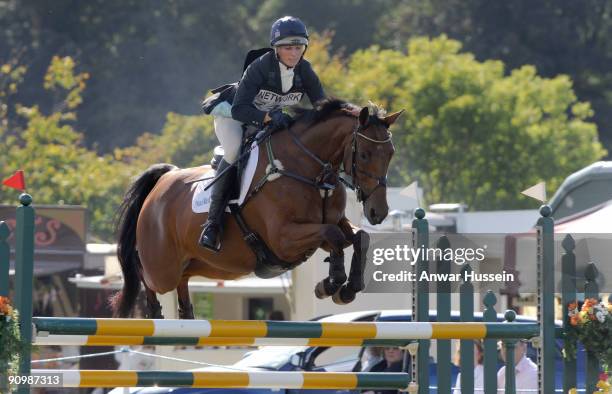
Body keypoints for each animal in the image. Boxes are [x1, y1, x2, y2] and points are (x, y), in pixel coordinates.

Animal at [111, 99, 402, 320]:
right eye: (363, 154)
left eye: (391, 153)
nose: (378, 212)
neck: (308, 169)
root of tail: (162, 181)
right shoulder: (284, 238)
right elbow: (333, 235)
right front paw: (332, 282)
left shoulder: (330, 223)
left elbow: (358, 237)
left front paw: (348, 287)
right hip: (162, 268)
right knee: (144, 273)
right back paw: (154, 311)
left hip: (196, 262)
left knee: (183, 280)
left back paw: (184, 316)